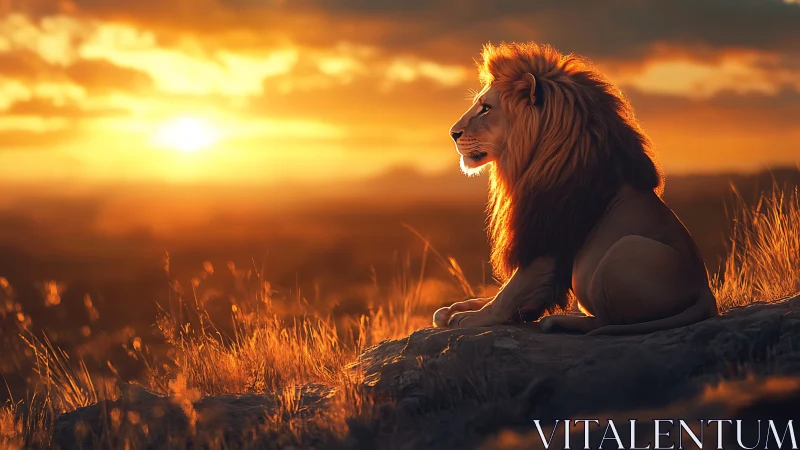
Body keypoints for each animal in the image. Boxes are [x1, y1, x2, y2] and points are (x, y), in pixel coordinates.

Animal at [432, 42, 718, 335]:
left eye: (486, 108)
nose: (452, 133)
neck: (532, 160)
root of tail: (705, 291)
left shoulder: (550, 233)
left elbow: (512, 290)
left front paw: (474, 317)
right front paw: (460, 307)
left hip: (623, 249)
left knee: (605, 322)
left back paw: (558, 322)